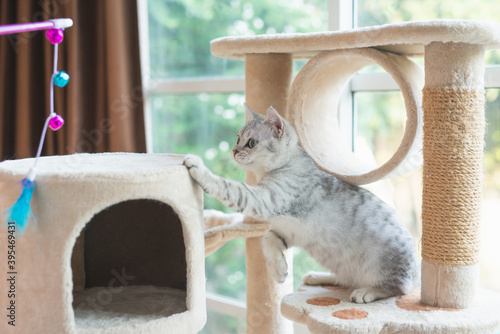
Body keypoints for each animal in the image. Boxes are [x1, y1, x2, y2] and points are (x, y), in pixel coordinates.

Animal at [184, 104, 418, 302]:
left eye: (251, 143)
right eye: (237, 138)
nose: (234, 151)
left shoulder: (263, 199)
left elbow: (229, 187)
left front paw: (200, 170)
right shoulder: (285, 229)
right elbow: (267, 240)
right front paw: (279, 270)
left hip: (385, 265)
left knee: (398, 287)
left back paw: (366, 292)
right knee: (346, 278)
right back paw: (317, 276)